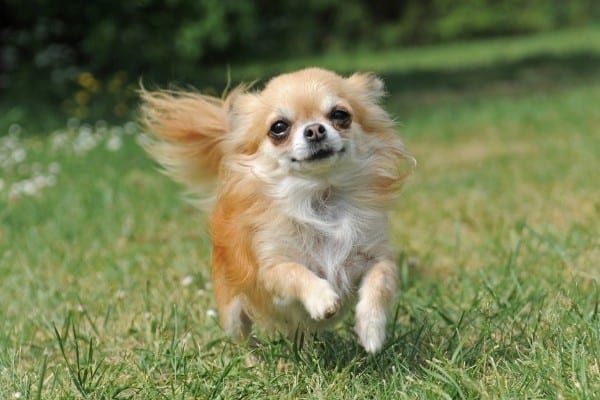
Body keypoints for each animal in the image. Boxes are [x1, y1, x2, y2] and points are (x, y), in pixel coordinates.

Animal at [139, 69, 414, 354]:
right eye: (279, 127)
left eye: (340, 115)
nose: (315, 129)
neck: (319, 197)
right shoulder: (271, 269)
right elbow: (296, 272)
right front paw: (322, 298)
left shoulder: (376, 255)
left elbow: (380, 282)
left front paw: (371, 332)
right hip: (232, 310)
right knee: (242, 335)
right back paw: (256, 355)